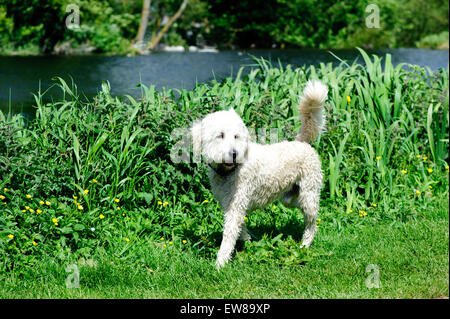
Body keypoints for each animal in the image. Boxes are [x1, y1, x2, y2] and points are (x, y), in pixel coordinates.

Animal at [190, 80, 326, 270]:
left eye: (236, 136)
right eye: (220, 135)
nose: (234, 153)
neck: (230, 171)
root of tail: (301, 142)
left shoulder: (236, 204)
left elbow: (229, 236)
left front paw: (220, 263)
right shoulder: (229, 205)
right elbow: (240, 228)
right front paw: (247, 241)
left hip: (309, 194)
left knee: (312, 224)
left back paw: (304, 245)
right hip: (290, 198)